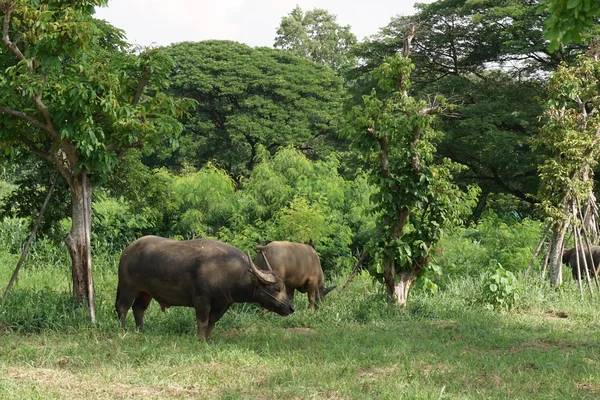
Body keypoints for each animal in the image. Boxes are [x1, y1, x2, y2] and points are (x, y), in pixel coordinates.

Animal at [115, 236, 292, 340]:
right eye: (276, 289)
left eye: (284, 288)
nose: (291, 308)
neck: (227, 271)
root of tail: (127, 251)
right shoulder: (201, 300)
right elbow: (202, 321)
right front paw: (200, 340)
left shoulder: (222, 304)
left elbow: (212, 322)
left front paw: (209, 339)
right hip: (127, 287)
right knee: (123, 308)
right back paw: (123, 331)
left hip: (145, 292)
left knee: (138, 309)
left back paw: (140, 331)